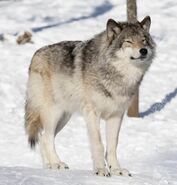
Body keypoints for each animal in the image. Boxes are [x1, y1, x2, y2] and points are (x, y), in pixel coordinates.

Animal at [24, 16, 155, 177]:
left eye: (144, 40)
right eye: (128, 41)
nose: (143, 50)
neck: (117, 75)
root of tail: (35, 55)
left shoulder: (116, 116)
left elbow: (112, 146)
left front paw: (116, 170)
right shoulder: (92, 114)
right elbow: (98, 144)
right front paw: (100, 170)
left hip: (64, 118)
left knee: (43, 138)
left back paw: (50, 166)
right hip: (54, 114)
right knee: (47, 138)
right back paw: (56, 163)